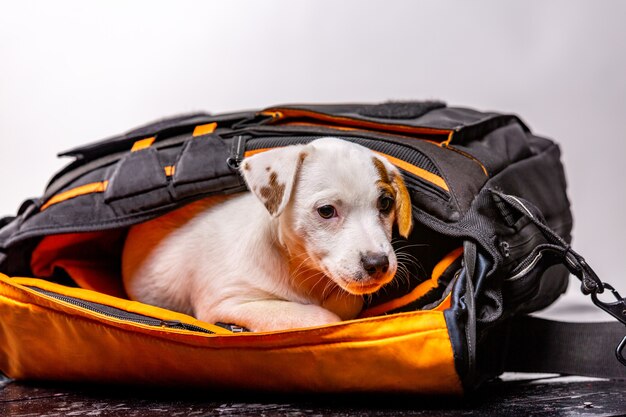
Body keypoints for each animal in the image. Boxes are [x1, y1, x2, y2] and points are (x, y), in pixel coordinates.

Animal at [122, 138, 412, 330]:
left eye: (385, 203)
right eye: (327, 211)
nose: (378, 264)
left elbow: (349, 299)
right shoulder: (227, 301)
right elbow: (320, 316)